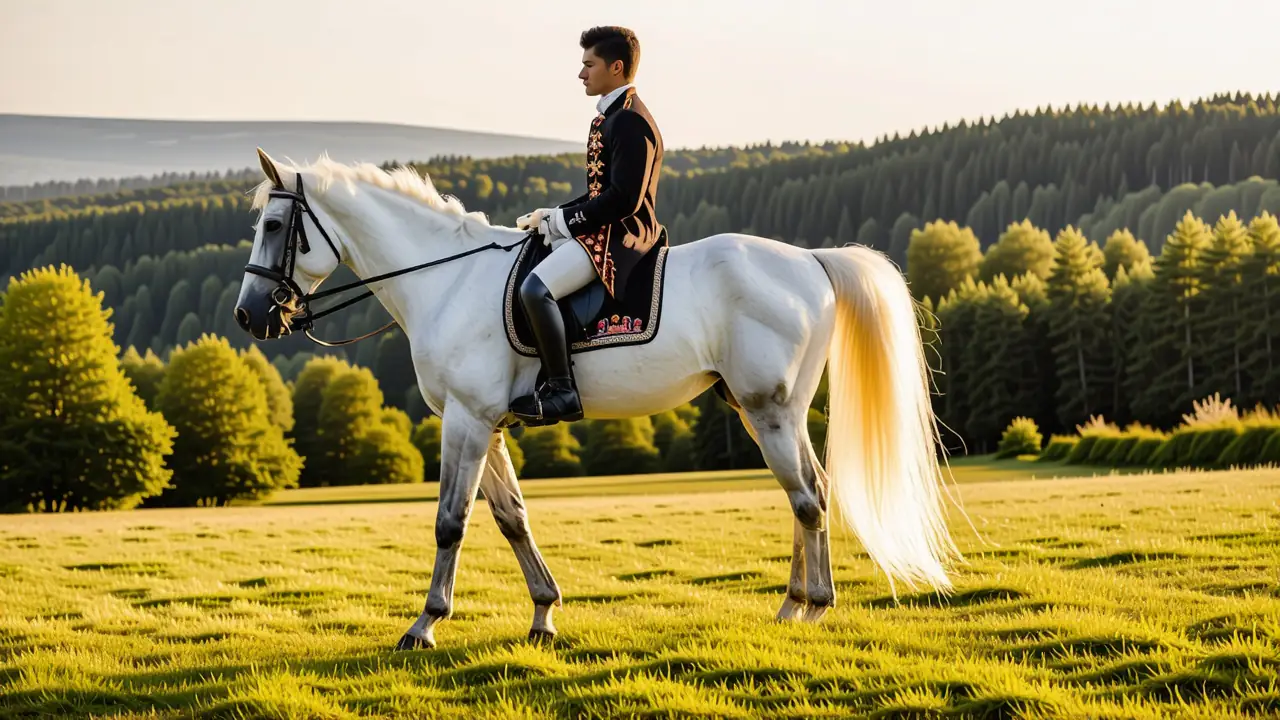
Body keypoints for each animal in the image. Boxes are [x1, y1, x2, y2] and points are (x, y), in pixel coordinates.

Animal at [235, 148, 961, 650]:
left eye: (274, 224)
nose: (249, 316)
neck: (446, 281)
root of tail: (810, 260)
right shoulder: (485, 423)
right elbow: (512, 519)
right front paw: (542, 615)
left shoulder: (466, 420)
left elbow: (450, 522)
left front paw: (425, 625)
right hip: (758, 409)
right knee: (810, 490)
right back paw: (797, 604)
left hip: (770, 406)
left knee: (807, 496)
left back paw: (811, 604)